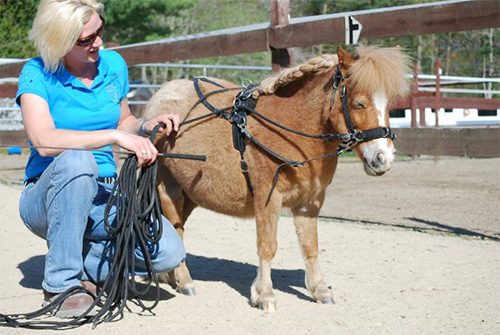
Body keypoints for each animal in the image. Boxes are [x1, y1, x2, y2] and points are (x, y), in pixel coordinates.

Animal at [145, 45, 410, 312]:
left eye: (389, 105)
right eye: (358, 103)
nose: (384, 158)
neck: (291, 128)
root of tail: (160, 99)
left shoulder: (310, 202)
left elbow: (310, 246)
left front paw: (320, 289)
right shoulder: (267, 198)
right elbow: (267, 246)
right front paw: (265, 294)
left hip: (190, 194)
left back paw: (171, 276)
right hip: (169, 189)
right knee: (177, 230)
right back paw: (185, 280)